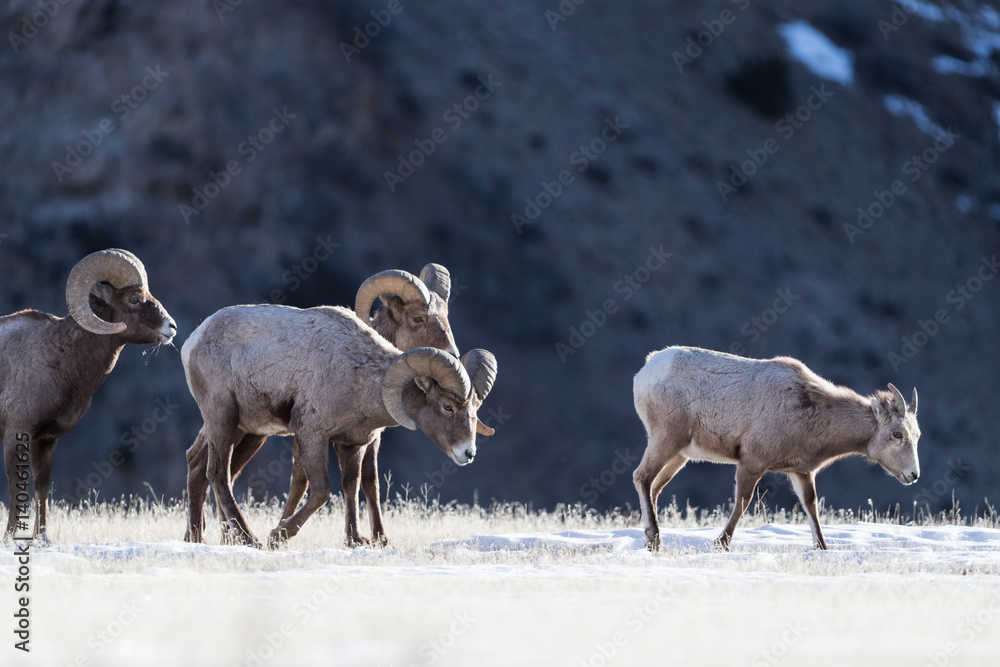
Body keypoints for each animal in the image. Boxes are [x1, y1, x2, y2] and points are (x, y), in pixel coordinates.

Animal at [1, 249, 176, 539]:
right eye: (134, 298)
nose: (171, 327)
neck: (59, 359)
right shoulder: (17, 434)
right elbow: (17, 489)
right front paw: (10, 537)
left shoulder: (46, 441)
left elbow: (41, 488)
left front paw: (43, 538)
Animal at [183, 264, 465, 546]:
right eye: (418, 318)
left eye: (446, 316)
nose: (453, 355)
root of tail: (192, 342)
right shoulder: (310, 433)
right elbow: (308, 482)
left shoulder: (364, 439)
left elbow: (360, 482)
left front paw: (366, 539)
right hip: (224, 417)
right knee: (218, 472)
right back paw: (246, 537)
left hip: (246, 431)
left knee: (201, 465)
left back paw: (199, 537)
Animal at [632, 346, 920, 551]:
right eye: (897, 434)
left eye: (917, 435)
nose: (913, 475)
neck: (811, 410)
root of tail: (644, 371)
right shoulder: (752, 462)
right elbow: (743, 502)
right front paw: (721, 544)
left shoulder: (801, 472)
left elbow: (811, 506)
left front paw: (822, 548)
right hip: (667, 439)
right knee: (642, 477)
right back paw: (655, 542)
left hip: (679, 454)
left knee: (654, 488)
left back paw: (650, 540)